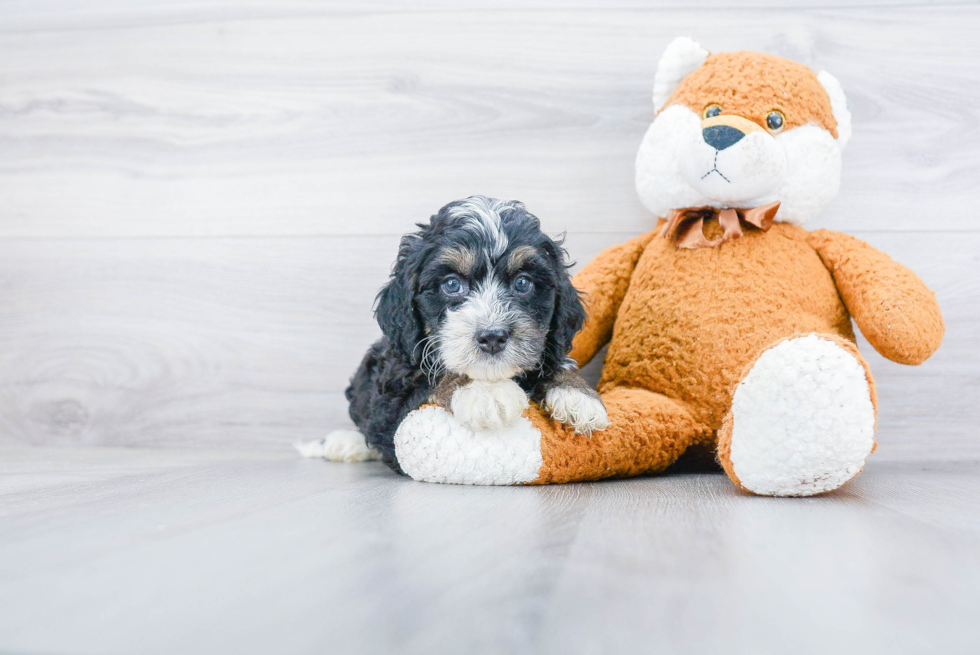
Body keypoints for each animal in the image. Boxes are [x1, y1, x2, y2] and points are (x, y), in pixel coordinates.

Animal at [308, 195, 612, 472]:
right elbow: (431, 380)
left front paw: (578, 396)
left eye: (523, 283)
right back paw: (343, 443)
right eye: (452, 284)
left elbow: (554, 364)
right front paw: (484, 392)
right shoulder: (393, 398)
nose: (492, 337)